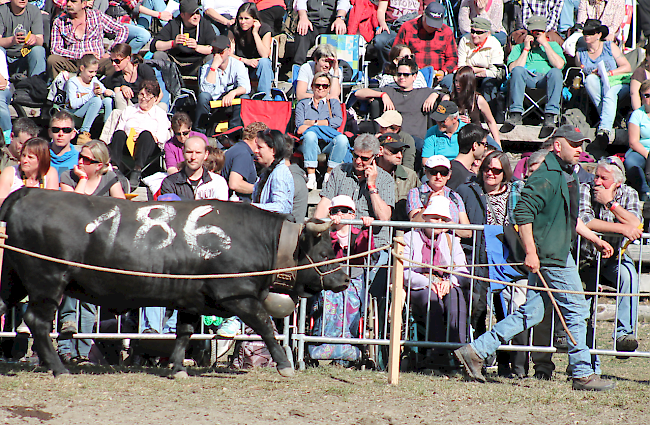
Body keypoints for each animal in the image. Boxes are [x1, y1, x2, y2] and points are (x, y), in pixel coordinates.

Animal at [0, 189, 350, 378]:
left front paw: (178, 367)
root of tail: (29, 193)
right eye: (324, 251)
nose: (345, 278)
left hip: (16, 280)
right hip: (47, 282)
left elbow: (184, 330)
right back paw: (59, 368)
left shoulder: (191, 299)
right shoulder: (237, 295)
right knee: (37, 322)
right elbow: (265, 325)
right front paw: (285, 365)